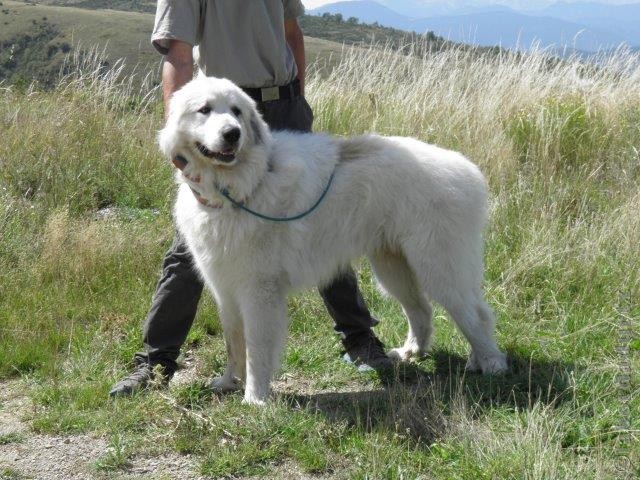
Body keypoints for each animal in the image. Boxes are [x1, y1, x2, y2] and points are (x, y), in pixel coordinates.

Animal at [158, 76, 508, 404]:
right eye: (204, 110)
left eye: (236, 112)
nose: (232, 133)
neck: (238, 187)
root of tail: (468, 170)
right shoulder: (225, 289)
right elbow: (234, 342)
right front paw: (229, 382)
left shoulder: (259, 291)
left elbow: (256, 348)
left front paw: (254, 399)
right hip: (394, 268)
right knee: (422, 309)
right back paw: (414, 352)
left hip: (439, 269)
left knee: (476, 314)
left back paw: (492, 364)